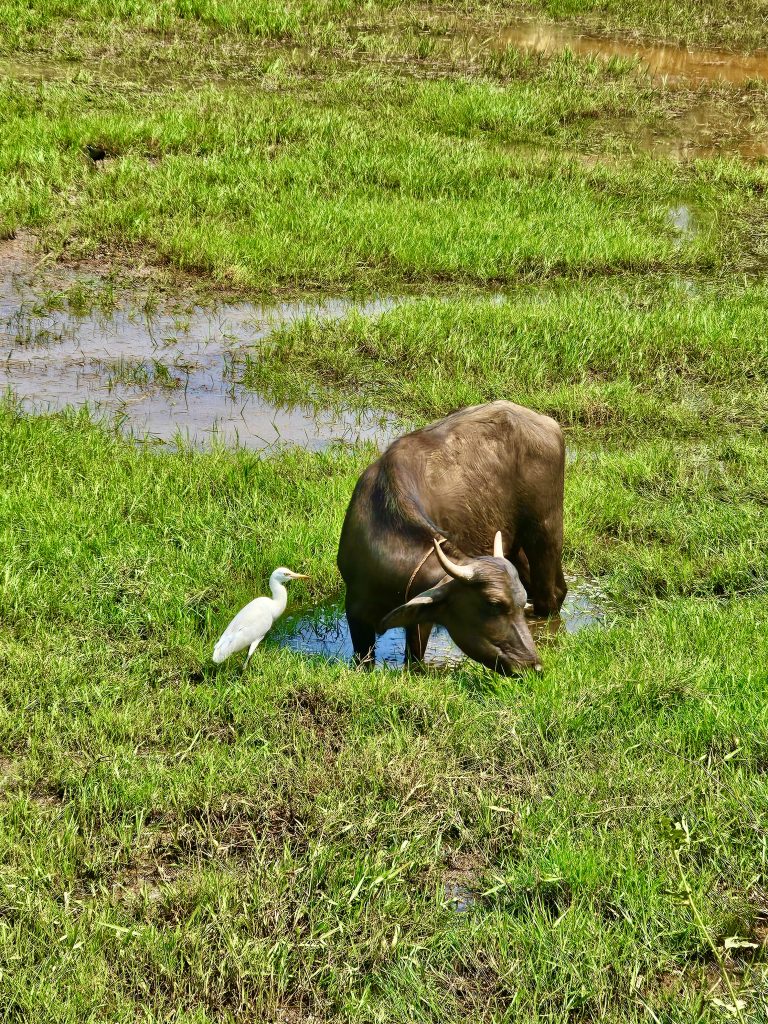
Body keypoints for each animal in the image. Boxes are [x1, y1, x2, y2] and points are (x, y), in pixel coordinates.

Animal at [339, 397, 569, 671]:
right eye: (494, 604)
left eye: (519, 603)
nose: (533, 665)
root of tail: (549, 424)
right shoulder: (355, 611)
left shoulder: (420, 622)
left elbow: (414, 657)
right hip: (517, 544)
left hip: (546, 529)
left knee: (550, 597)